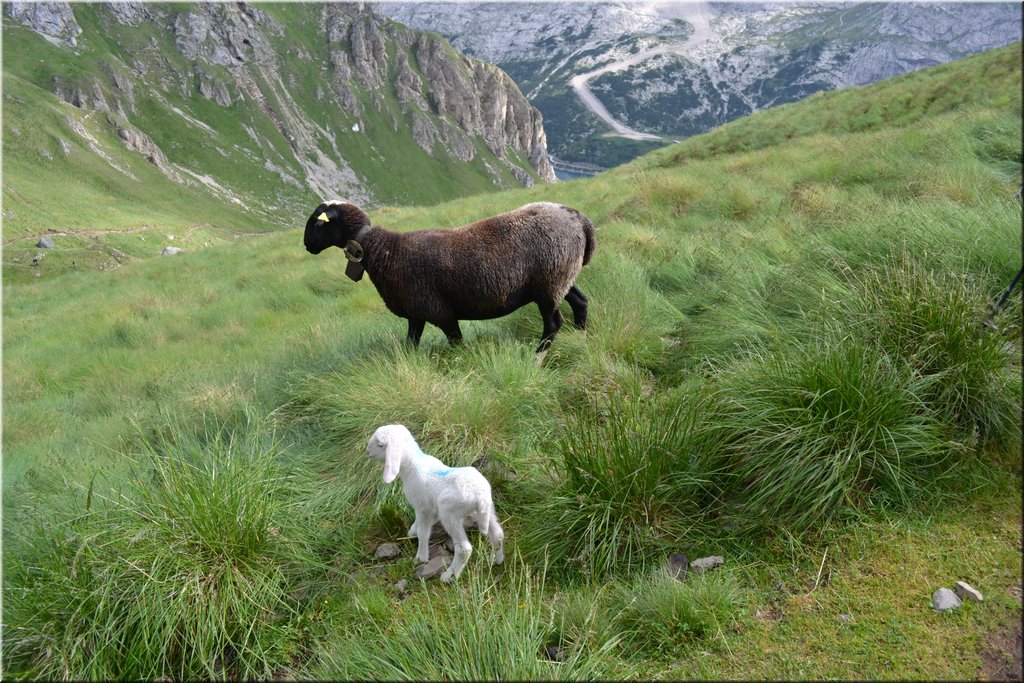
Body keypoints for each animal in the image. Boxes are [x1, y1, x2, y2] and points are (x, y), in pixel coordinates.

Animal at [366, 421, 505, 581]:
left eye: (380, 445)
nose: (367, 452)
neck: (412, 465)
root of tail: (480, 495)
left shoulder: (422, 507)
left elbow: (423, 533)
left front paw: (420, 557)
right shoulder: (429, 508)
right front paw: (412, 531)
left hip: (449, 512)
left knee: (464, 548)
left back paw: (449, 576)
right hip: (486, 510)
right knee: (498, 534)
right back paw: (496, 559)